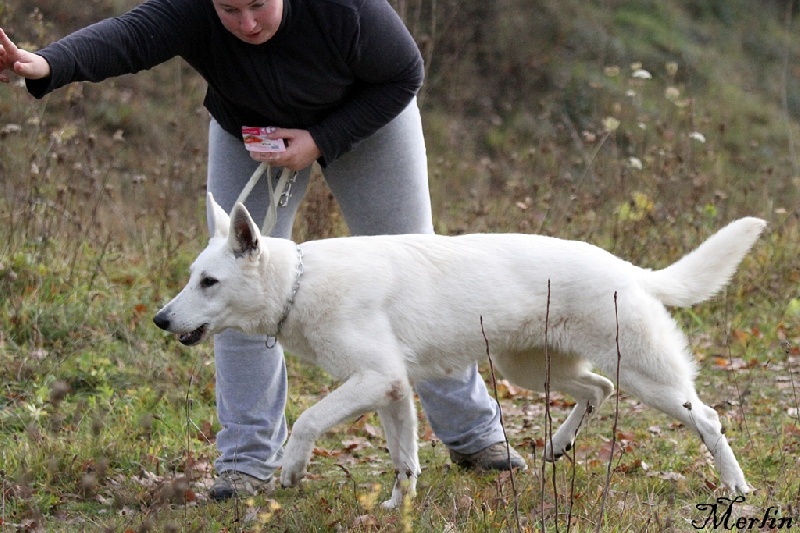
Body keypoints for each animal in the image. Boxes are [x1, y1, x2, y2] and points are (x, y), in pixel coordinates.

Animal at [153, 194, 764, 508]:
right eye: (191, 278)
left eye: (208, 282)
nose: (161, 319)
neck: (297, 285)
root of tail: (626, 268)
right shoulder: (392, 390)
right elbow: (404, 460)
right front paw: (396, 510)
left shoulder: (373, 379)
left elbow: (306, 420)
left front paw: (293, 470)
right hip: (528, 368)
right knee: (597, 388)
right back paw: (559, 445)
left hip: (646, 376)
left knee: (707, 418)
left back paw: (737, 487)